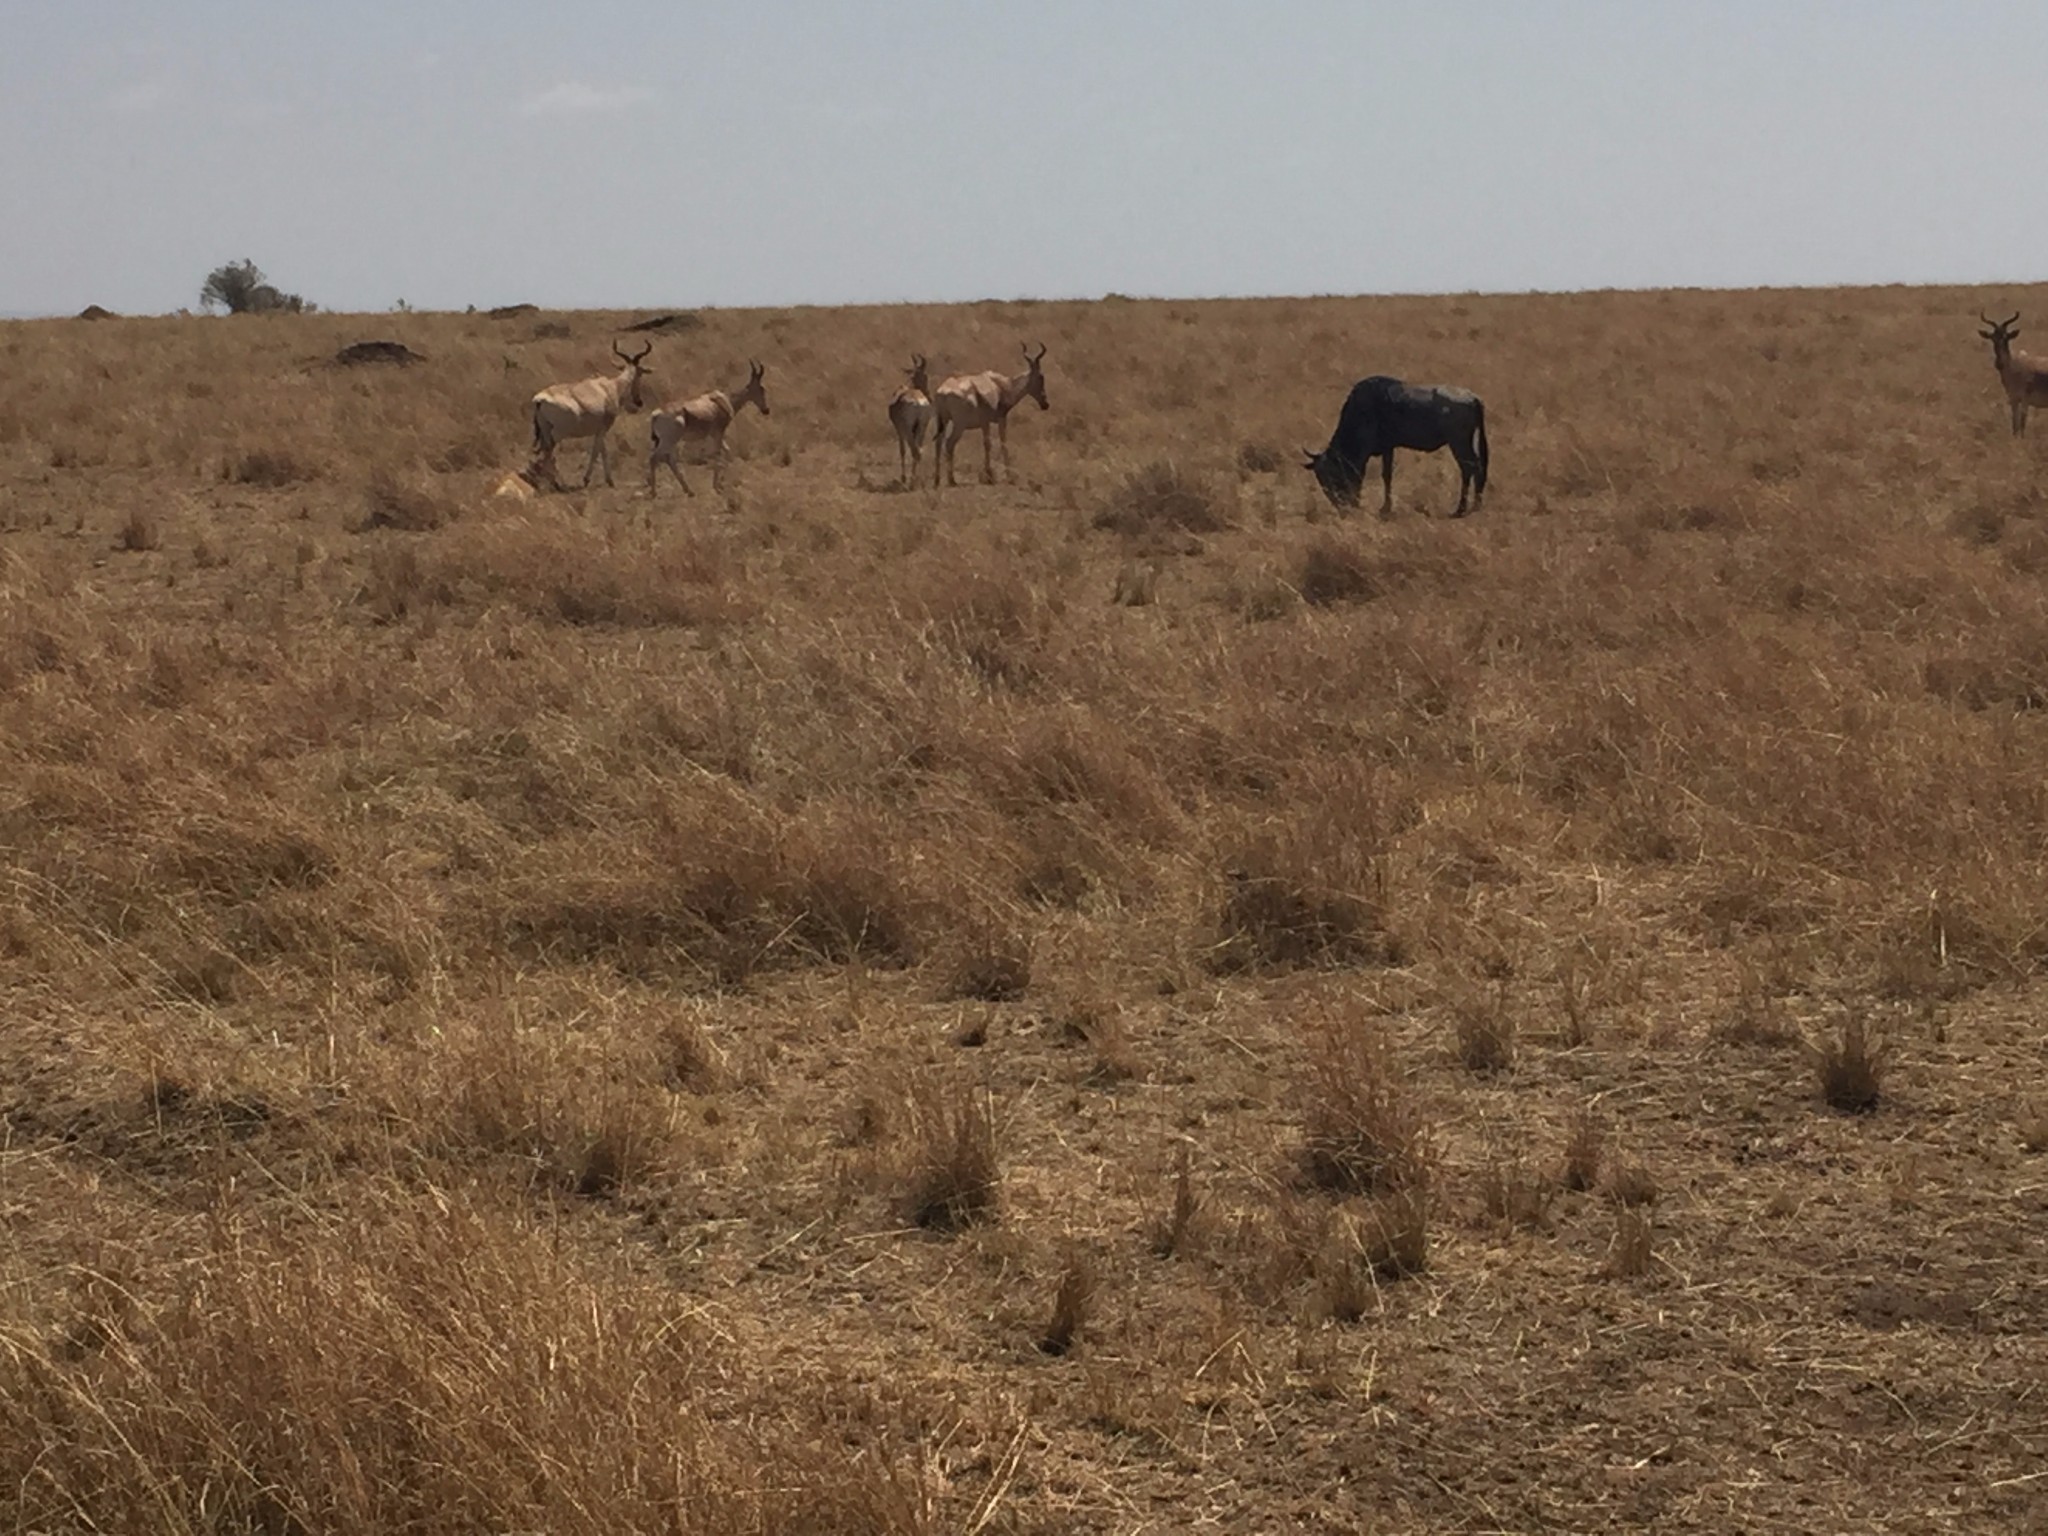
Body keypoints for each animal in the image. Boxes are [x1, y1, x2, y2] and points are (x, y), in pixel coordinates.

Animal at [532, 344, 651, 489]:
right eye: (640, 373)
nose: (639, 402)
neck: (610, 387)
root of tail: (540, 399)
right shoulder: (603, 429)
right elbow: (597, 451)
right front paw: (588, 479)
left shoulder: (599, 430)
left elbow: (602, 450)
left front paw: (608, 480)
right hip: (559, 432)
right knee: (549, 450)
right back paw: (553, 482)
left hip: (545, 429)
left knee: (545, 449)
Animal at [647, 362, 770, 495]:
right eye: (761, 389)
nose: (766, 410)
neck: (721, 401)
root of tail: (656, 415)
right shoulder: (719, 433)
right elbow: (717, 454)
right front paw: (717, 486)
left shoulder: (713, 435)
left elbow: (727, 451)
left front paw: (722, 482)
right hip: (669, 440)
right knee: (654, 458)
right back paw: (654, 492)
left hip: (670, 441)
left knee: (669, 460)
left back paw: (688, 490)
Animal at [888, 354, 937, 487]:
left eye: (926, 375)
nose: (930, 396)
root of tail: (917, 402)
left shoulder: (900, 431)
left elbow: (902, 451)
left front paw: (903, 478)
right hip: (922, 427)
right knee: (919, 450)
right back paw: (917, 480)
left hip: (908, 429)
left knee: (914, 450)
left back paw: (911, 482)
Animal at [937, 346, 1048, 489]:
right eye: (1041, 376)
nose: (1045, 404)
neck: (998, 385)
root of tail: (943, 392)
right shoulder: (999, 419)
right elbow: (1000, 443)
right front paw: (1004, 477)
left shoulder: (985, 423)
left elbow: (987, 444)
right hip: (959, 425)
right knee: (949, 443)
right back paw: (951, 480)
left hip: (943, 421)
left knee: (938, 443)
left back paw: (937, 480)